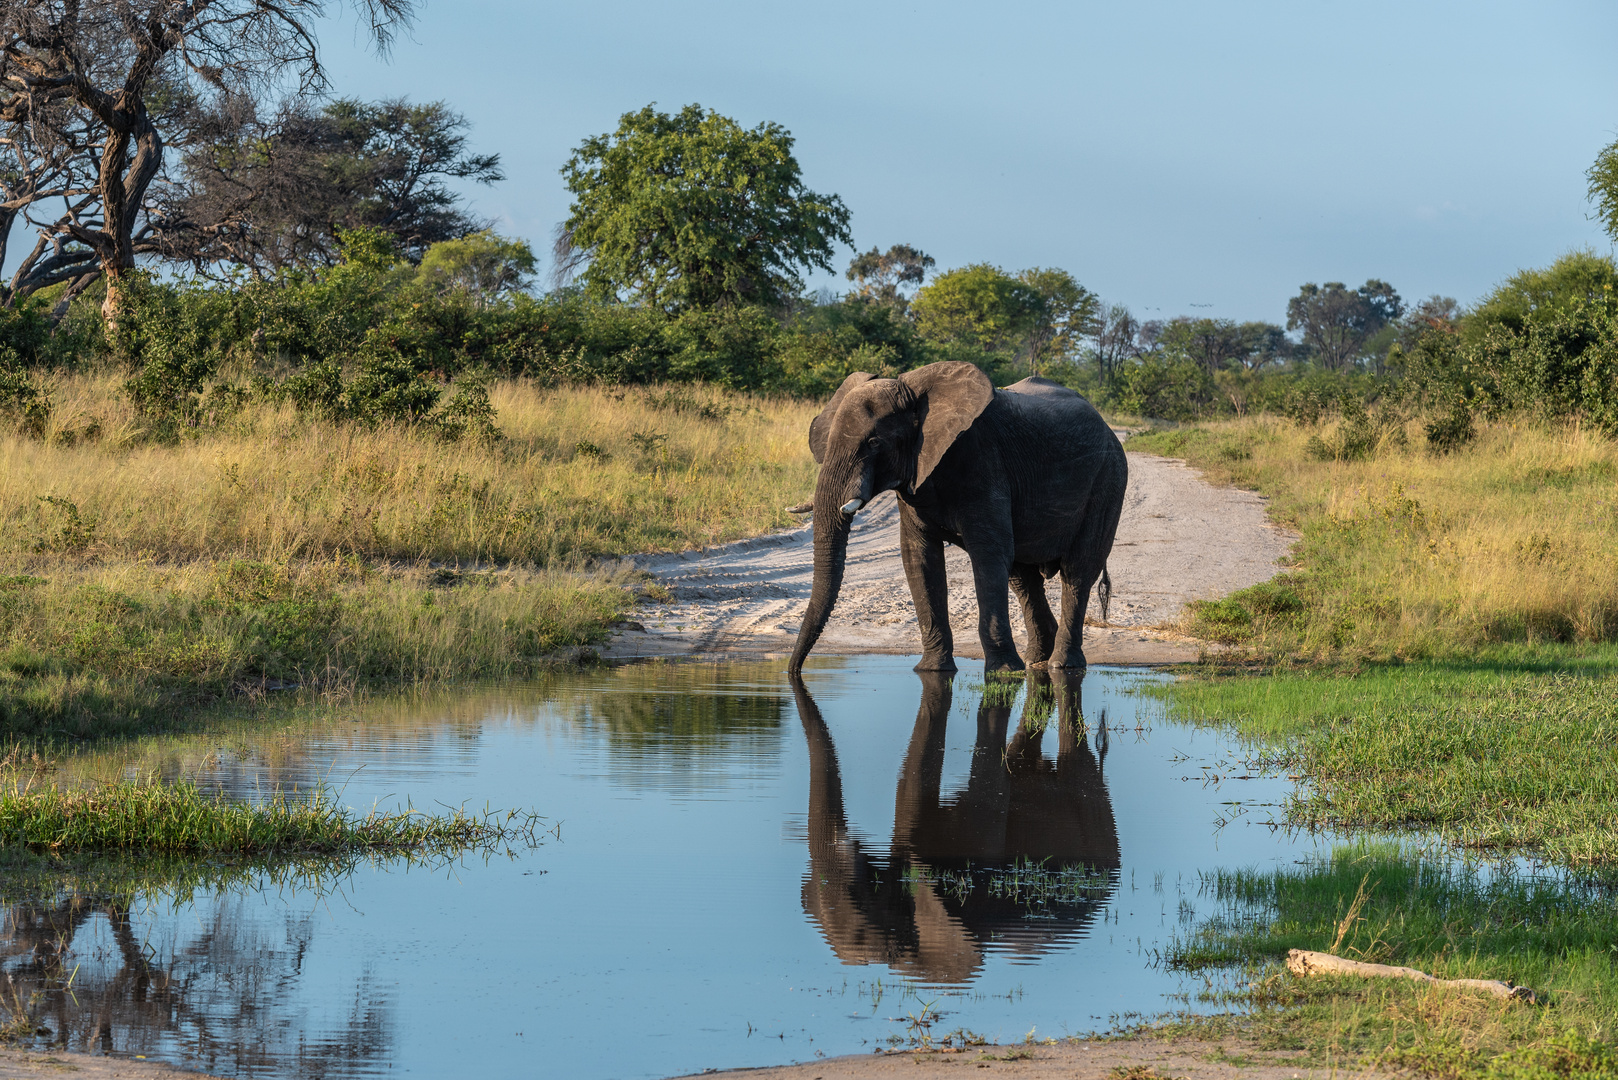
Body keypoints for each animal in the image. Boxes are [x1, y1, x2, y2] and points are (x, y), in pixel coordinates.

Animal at [789, 361, 1132, 676]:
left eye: (874, 443)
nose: (793, 673)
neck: (913, 391)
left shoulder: (983, 463)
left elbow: (989, 555)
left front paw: (1003, 672)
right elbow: (919, 559)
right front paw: (932, 671)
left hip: (1109, 480)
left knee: (1077, 571)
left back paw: (1062, 666)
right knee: (1023, 578)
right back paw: (1036, 662)